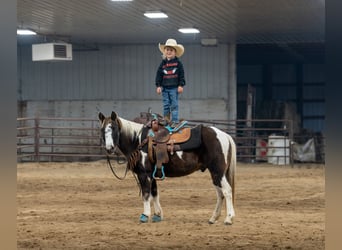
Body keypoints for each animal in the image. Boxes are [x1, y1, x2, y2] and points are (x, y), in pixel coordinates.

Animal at [99, 111, 236, 225]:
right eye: (102, 130)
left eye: (113, 128)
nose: (109, 148)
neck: (138, 140)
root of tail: (224, 135)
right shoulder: (152, 175)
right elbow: (154, 193)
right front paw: (157, 215)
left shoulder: (144, 174)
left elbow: (146, 194)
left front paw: (145, 215)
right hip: (215, 174)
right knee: (220, 193)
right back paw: (213, 218)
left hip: (218, 171)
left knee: (227, 191)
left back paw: (228, 218)